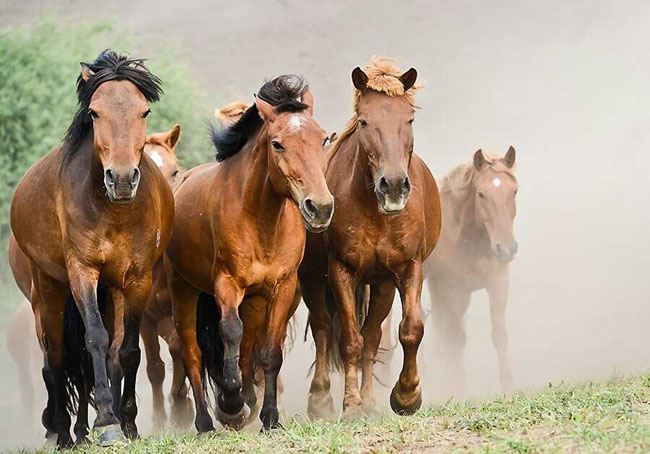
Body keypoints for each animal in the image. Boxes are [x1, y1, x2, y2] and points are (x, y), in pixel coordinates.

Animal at [298, 58, 440, 420]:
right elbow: (350, 340)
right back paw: (320, 401)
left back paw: (372, 403)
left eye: (409, 119)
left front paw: (406, 396)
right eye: (365, 121)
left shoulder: (406, 268)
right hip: (311, 278)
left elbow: (409, 330)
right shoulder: (341, 271)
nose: (394, 186)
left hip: (381, 284)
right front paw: (350, 407)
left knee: (373, 335)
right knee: (323, 328)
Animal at [422, 147, 520, 396]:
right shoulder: (451, 289)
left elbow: (499, 335)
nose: (506, 248)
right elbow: (456, 341)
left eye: (514, 190)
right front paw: (458, 389)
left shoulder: (498, 283)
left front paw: (508, 386)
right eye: (481, 194)